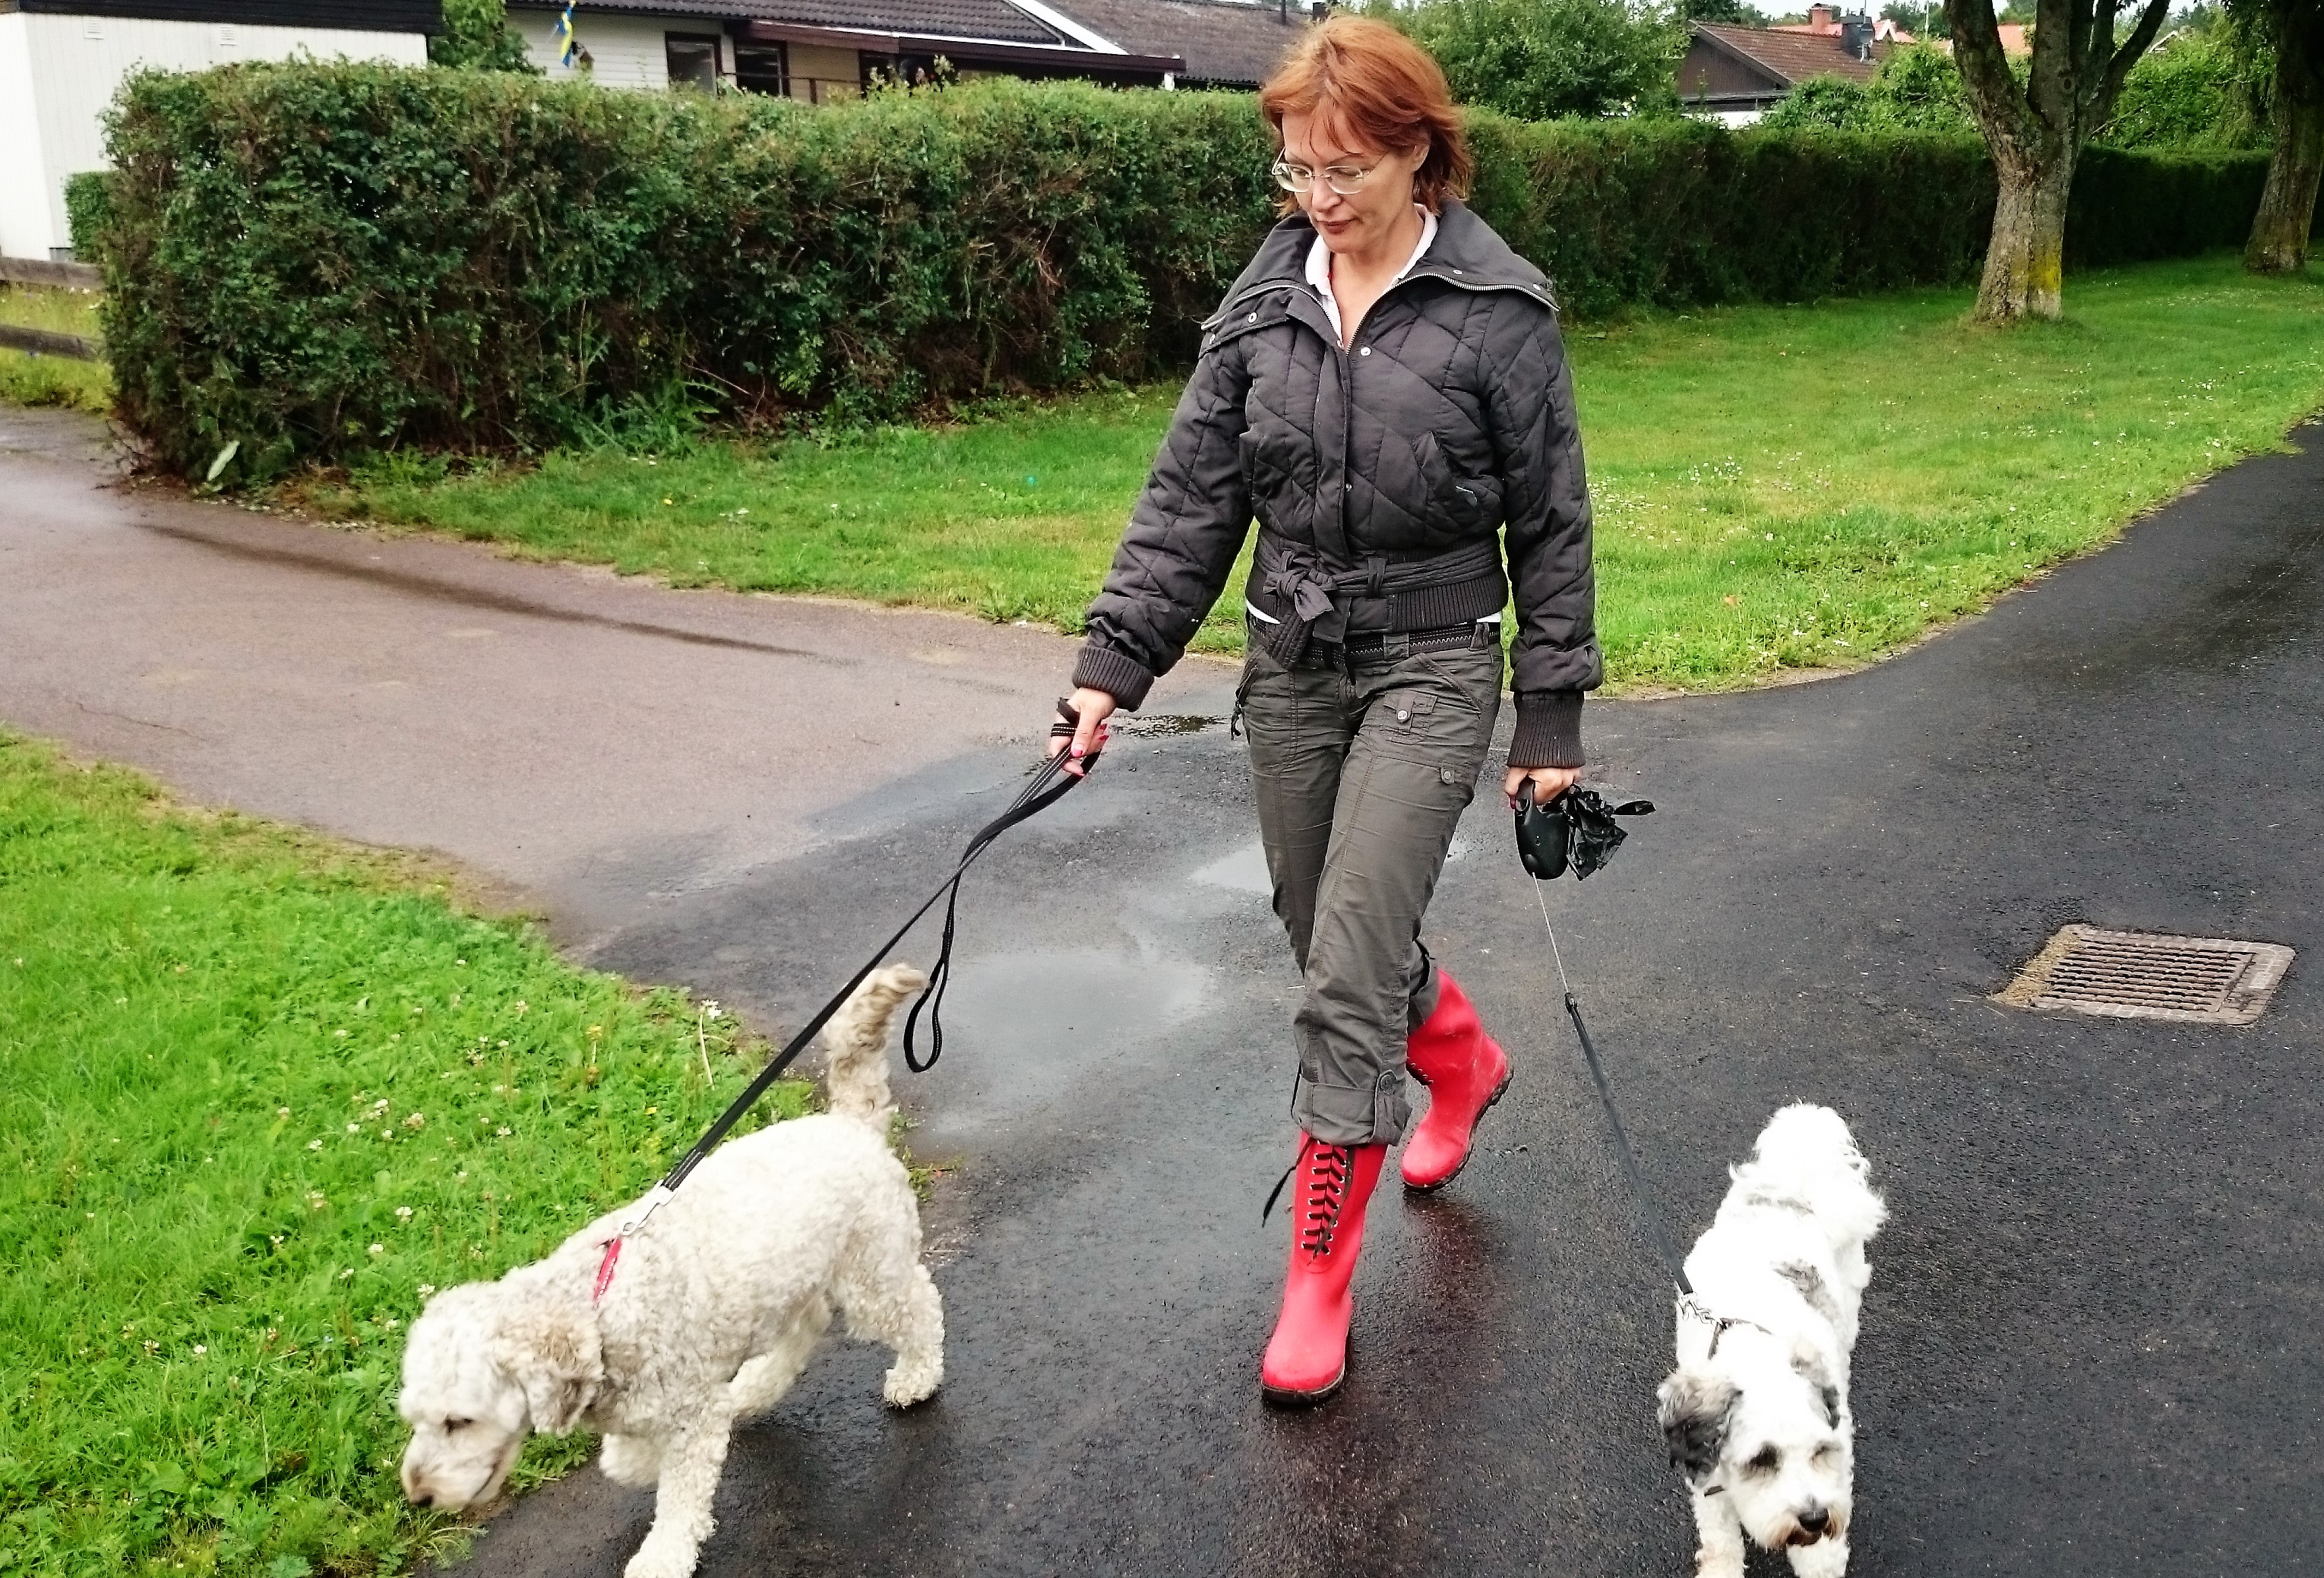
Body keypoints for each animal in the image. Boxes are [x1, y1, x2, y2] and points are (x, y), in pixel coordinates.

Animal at [398, 964, 942, 1578]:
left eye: (458, 1421)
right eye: (416, 1419)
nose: (418, 1495)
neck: (598, 1308)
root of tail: (849, 1122)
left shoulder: (692, 1418)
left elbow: (680, 1498)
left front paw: (661, 1555)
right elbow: (626, 1456)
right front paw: (632, 1460)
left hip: (872, 1275)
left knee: (919, 1306)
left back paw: (917, 1375)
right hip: (792, 1279)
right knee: (803, 1330)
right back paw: (754, 1388)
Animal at [1656, 1104, 1886, 1578]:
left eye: (1820, 1452)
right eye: (1763, 1459)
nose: (1815, 1518)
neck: (1759, 1356)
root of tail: (1790, 1190)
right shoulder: (1710, 1483)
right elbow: (1721, 1544)